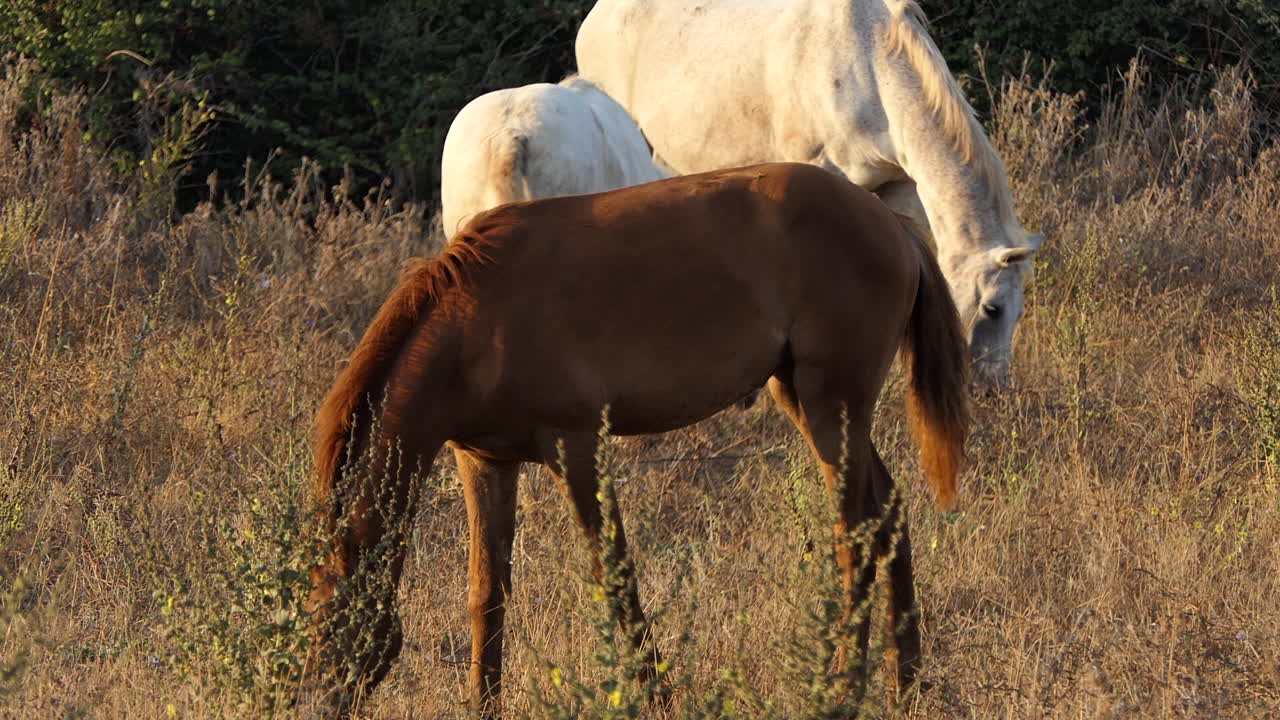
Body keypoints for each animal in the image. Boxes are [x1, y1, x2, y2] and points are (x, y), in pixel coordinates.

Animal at [305, 162, 969, 717]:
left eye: (329, 618)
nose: (315, 700)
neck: (476, 320)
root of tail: (890, 222)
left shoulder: (576, 451)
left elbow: (614, 578)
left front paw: (657, 695)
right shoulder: (484, 462)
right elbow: (487, 591)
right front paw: (481, 705)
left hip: (834, 409)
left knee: (854, 535)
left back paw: (841, 687)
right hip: (808, 403)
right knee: (888, 513)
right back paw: (904, 684)